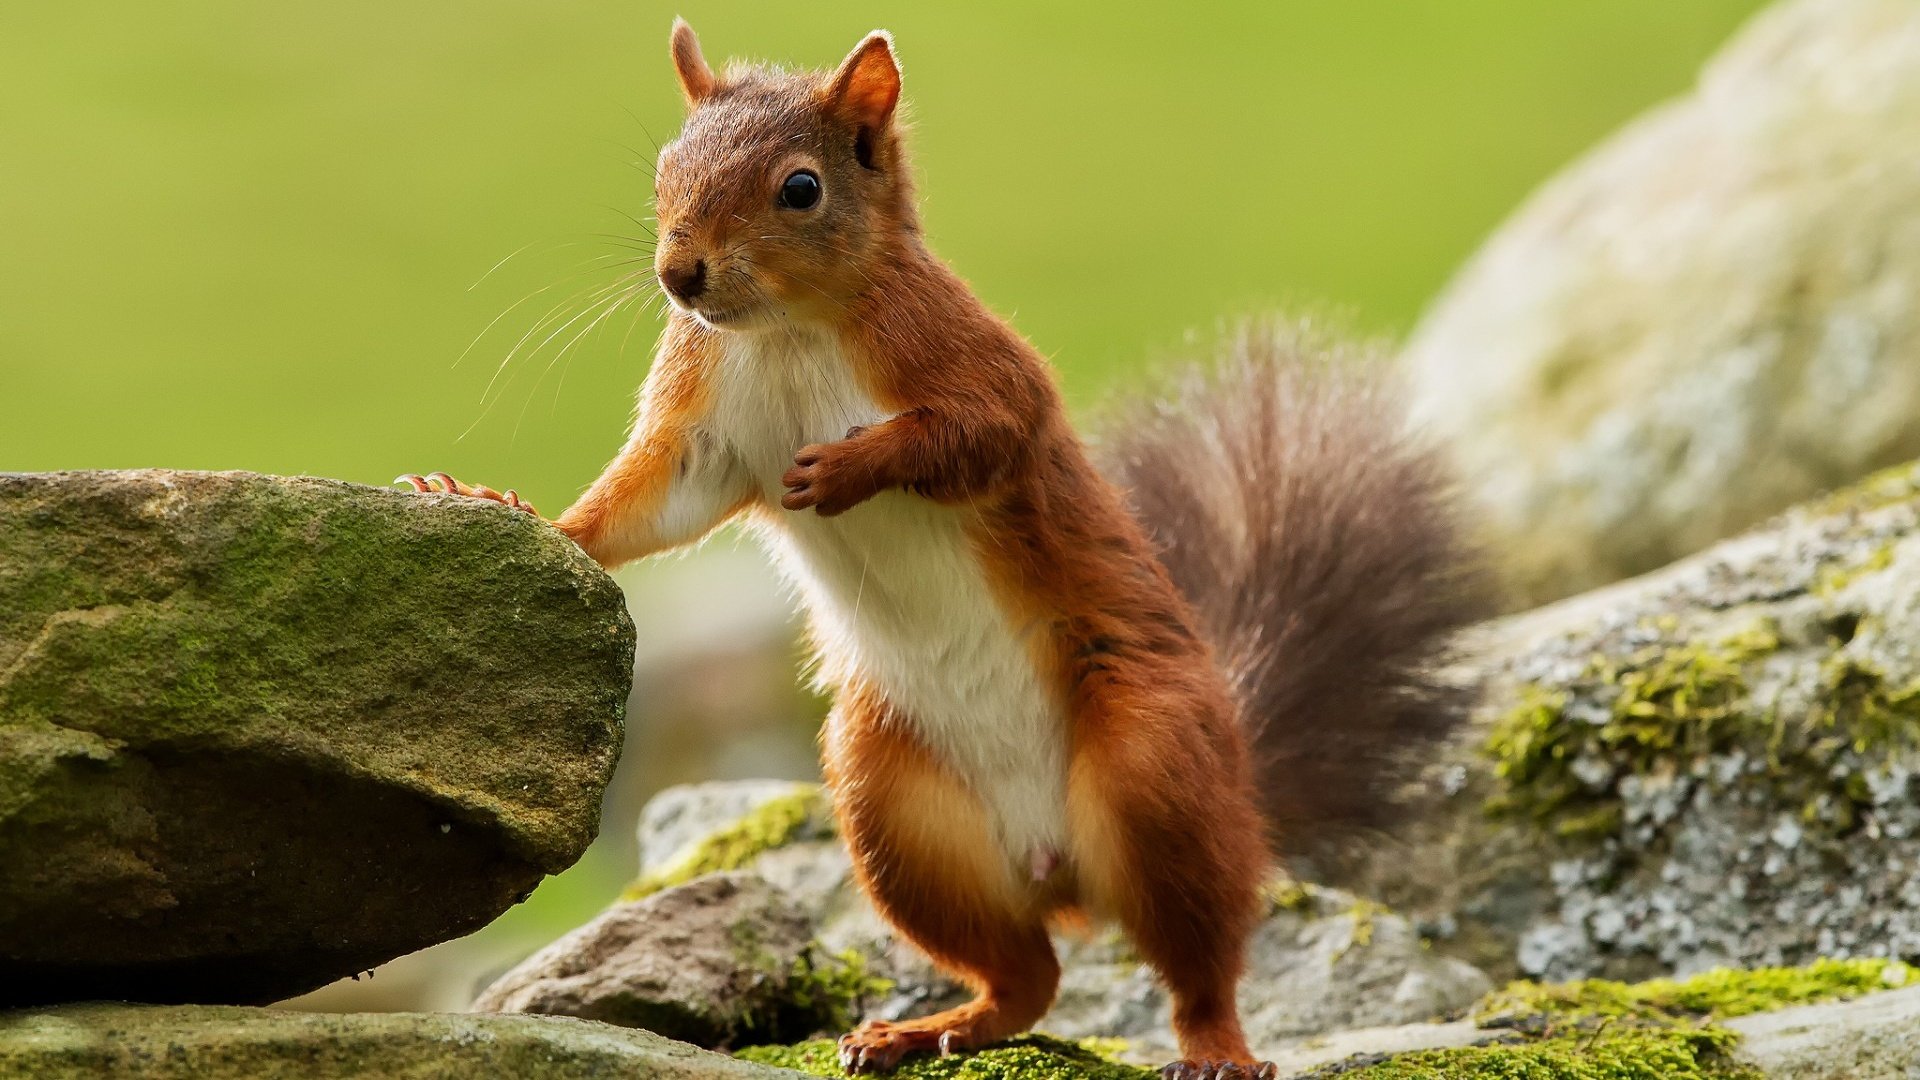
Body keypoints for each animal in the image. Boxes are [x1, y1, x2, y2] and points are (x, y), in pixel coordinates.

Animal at [401, 23, 1482, 1076]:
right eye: (667, 167)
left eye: (801, 188)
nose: (680, 275)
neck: (787, 329)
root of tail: (1060, 866)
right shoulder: (703, 430)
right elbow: (644, 510)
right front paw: (505, 508)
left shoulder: (970, 361)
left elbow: (976, 434)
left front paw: (849, 468)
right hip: (895, 814)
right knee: (1026, 978)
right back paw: (920, 1030)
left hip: (1154, 767)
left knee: (1198, 959)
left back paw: (1214, 1048)